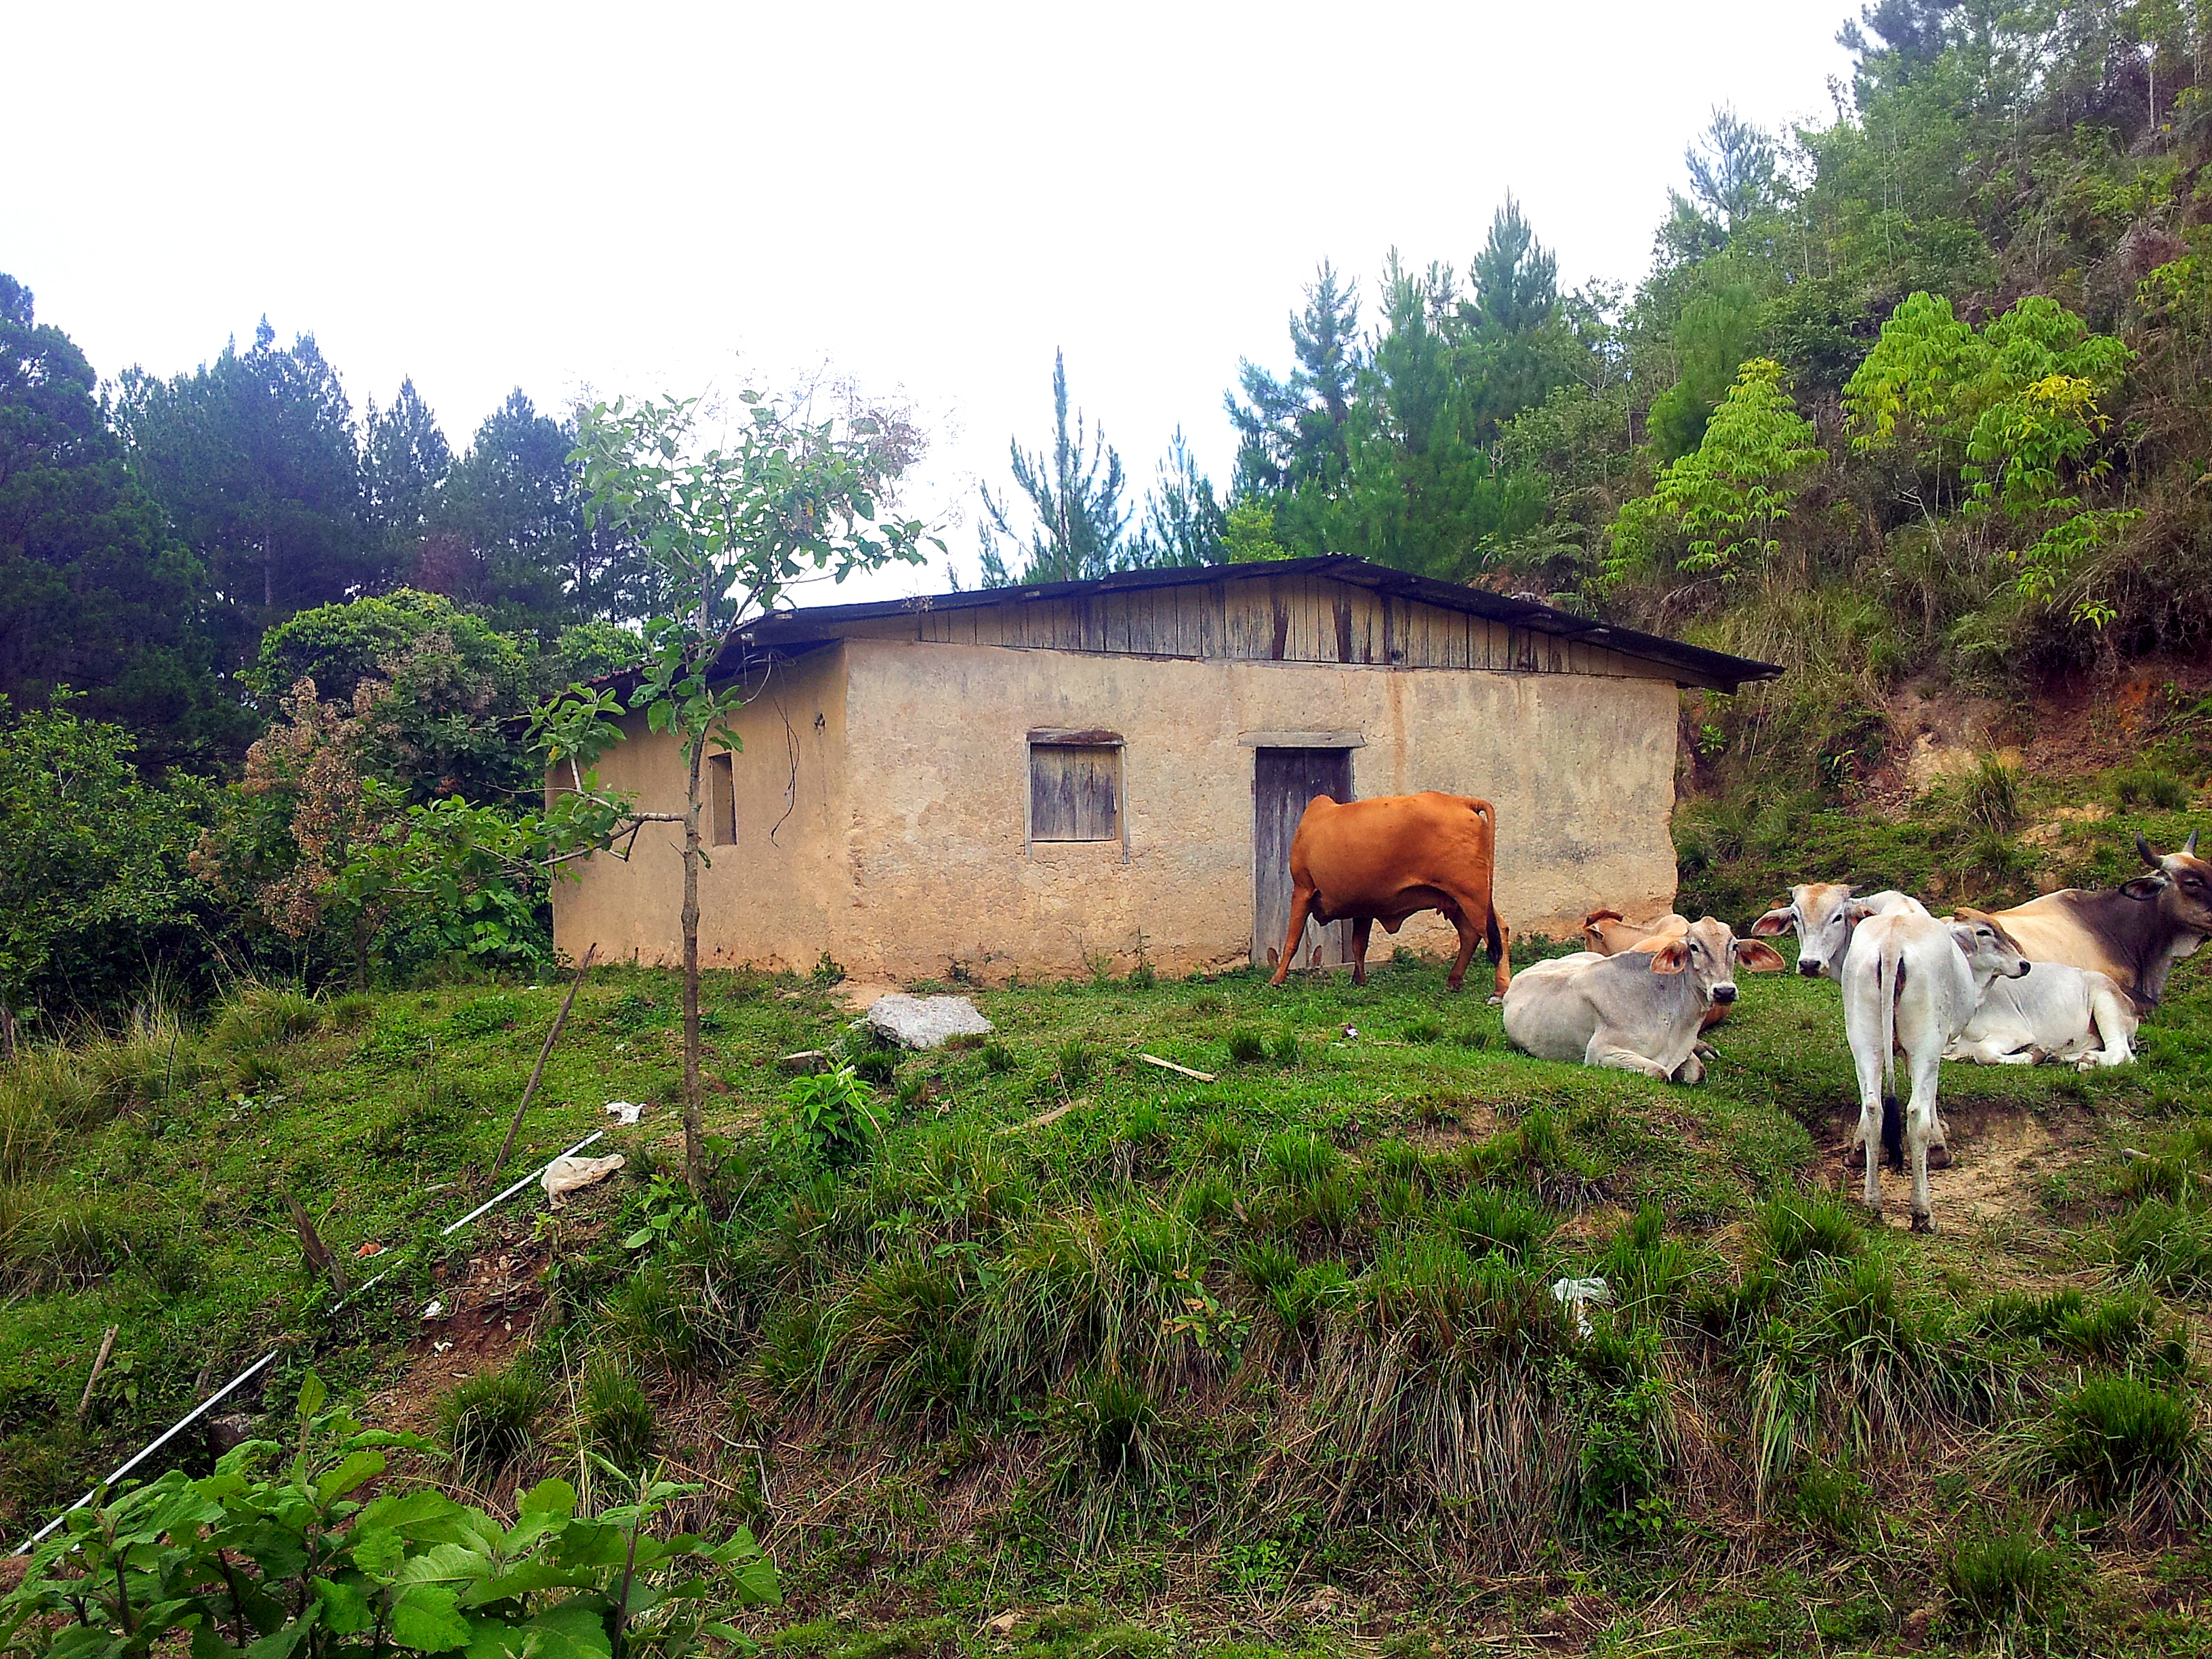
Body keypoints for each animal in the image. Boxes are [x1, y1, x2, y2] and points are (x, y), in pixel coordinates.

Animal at [1270, 791, 1511, 995]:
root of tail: (1462, 801)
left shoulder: (1302, 888)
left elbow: (1292, 941)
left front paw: (1276, 980)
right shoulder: (1363, 907)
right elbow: (1358, 945)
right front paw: (1359, 980)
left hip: (1471, 894)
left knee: (1496, 931)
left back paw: (1500, 990)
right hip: (1456, 899)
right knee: (1471, 934)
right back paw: (1454, 980)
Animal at [1502, 916, 1786, 1082]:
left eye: (1734, 947)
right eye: (1694, 947)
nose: (1724, 991)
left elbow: (1697, 1072)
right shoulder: (1600, 1053)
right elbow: (1660, 1073)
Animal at [1842, 907, 2030, 1233]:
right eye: (1985, 933)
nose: (2024, 964)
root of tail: (1893, 939)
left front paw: (1856, 1150)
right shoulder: (1938, 1047)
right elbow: (1930, 1098)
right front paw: (1939, 1147)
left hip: (1864, 1041)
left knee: (1873, 1109)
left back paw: (1873, 1204)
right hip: (1926, 1043)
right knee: (1916, 1113)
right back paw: (1922, 1213)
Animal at [1945, 960, 2138, 1070]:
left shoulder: (2015, 1033)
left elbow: (1982, 1052)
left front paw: (2032, 1055)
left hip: (2106, 1002)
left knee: (2121, 1052)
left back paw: (2089, 1060)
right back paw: (2060, 1058)